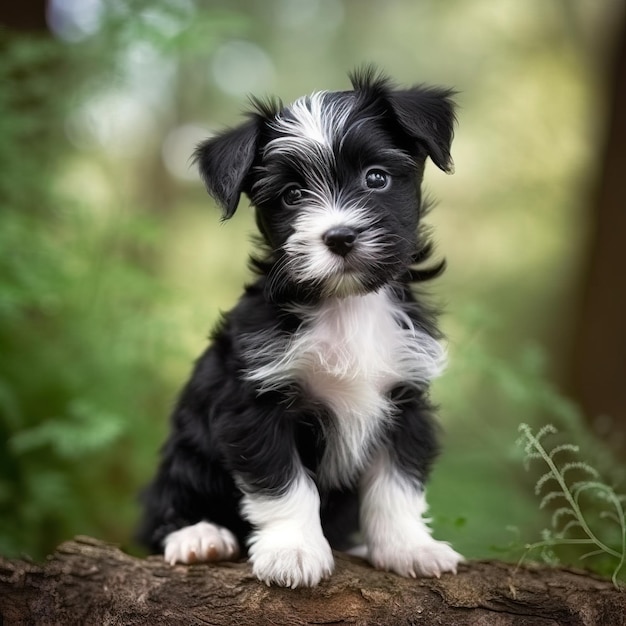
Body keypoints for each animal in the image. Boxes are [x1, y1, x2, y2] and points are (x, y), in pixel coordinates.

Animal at [139, 68, 460, 584]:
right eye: (292, 195)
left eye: (376, 177)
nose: (340, 236)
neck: (345, 304)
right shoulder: (255, 404)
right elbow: (284, 485)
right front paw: (293, 551)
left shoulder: (405, 397)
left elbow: (397, 485)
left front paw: (409, 548)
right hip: (188, 451)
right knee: (164, 505)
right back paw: (197, 536)